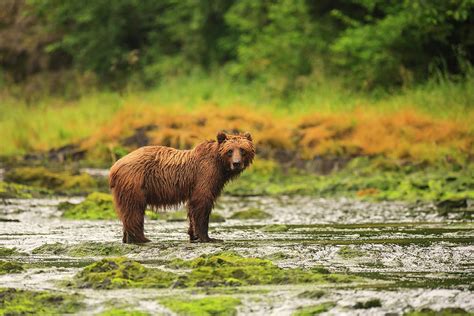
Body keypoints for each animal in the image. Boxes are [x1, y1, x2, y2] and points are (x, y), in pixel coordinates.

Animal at [109, 132, 254, 243]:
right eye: (230, 151)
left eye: (242, 149)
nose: (236, 163)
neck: (220, 166)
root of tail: (114, 167)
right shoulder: (204, 175)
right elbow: (202, 202)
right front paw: (208, 238)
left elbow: (192, 208)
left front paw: (193, 235)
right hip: (135, 183)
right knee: (134, 210)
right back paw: (142, 238)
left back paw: (127, 238)